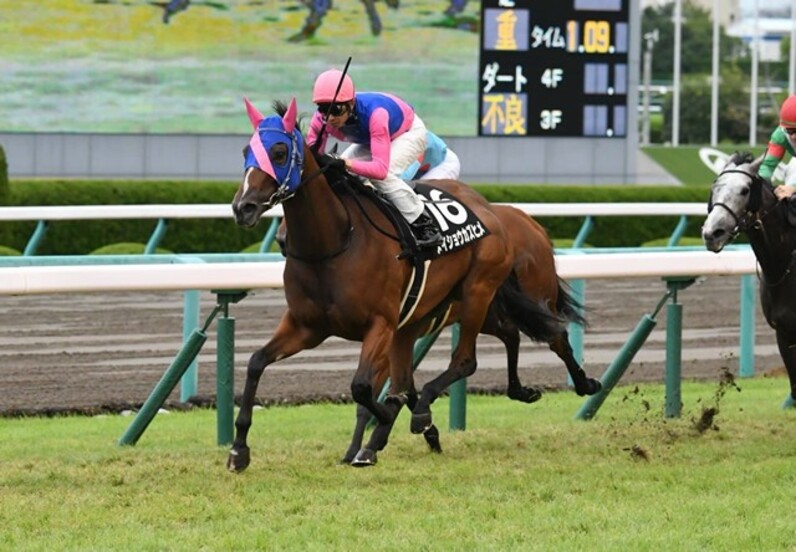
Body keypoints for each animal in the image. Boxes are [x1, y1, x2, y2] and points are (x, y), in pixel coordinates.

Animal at [229, 98, 596, 470]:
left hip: (483, 291)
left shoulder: (382, 324)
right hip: (478, 310)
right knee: (510, 333)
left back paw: (583, 383)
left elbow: (364, 390)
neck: (335, 242)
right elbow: (256, 362)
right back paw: (520, 390)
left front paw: (393, 426)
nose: (243, 207)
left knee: (490, 353)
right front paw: (239, 449)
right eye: (245, 150)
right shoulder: (307, 326)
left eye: (278, 152)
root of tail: (510, 219)